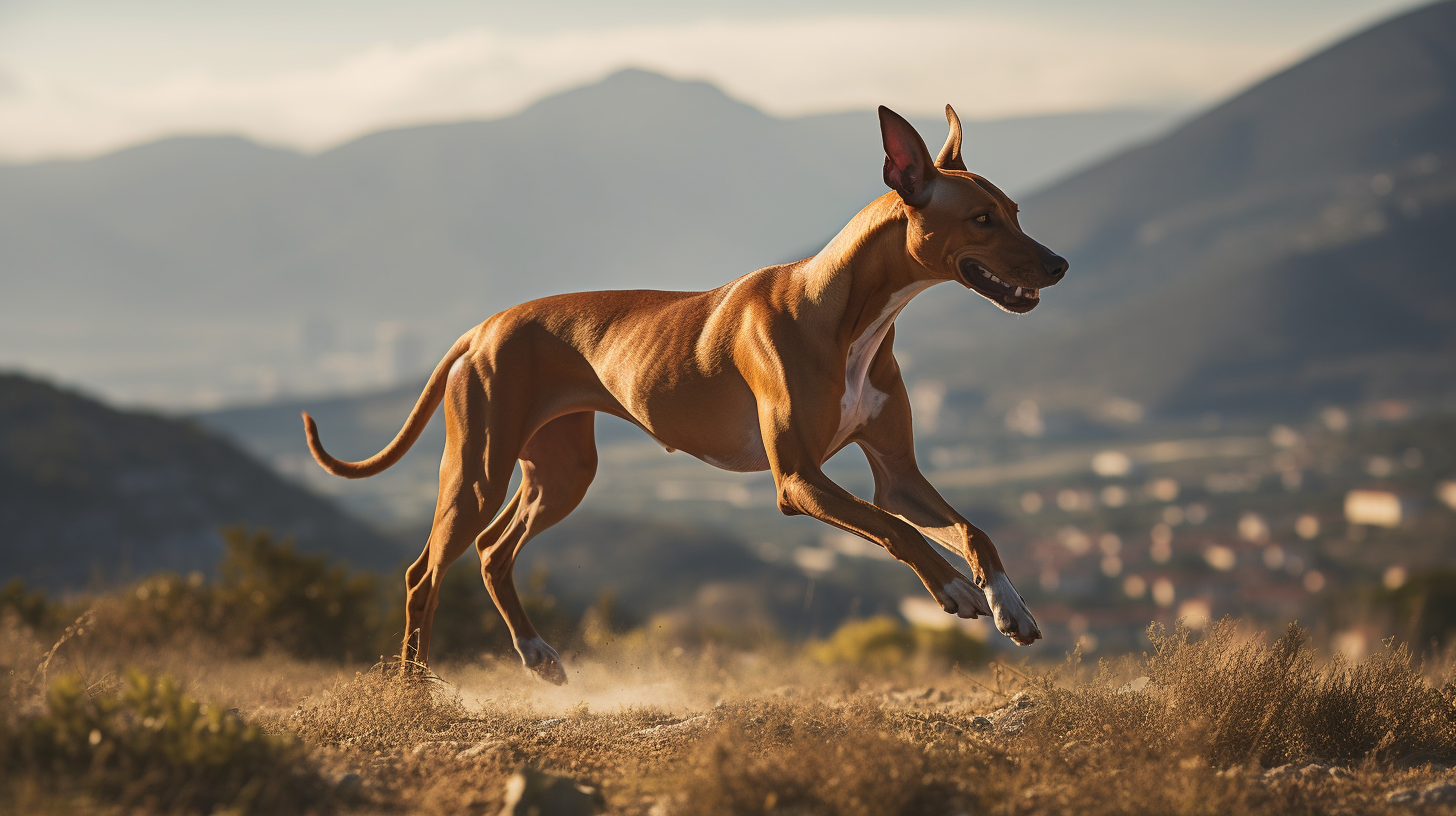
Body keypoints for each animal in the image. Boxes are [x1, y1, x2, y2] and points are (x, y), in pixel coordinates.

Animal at [301, 107, 1071, 681]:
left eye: (1015, 210)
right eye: (981, 220)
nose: (1061, 264)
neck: (849, 314)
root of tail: (483, 327)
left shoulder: (897, 476)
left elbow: (969, 528)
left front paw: (1012, 606)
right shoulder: (798, 480)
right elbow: (897, 531)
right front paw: (953, 588)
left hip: (562, 470)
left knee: (493, 552)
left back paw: (537, 653)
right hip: (478, 470)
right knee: (422, 574)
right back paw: (415, 690)